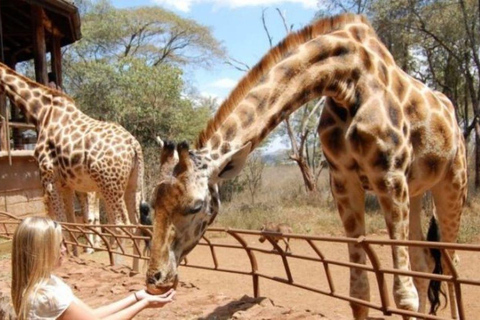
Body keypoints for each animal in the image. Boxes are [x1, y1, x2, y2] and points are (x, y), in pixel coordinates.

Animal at [0, 61, 149, 268]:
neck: (40, 112)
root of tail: (133, 145)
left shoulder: (49, 179)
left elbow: (61, 222)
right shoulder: (66, 185)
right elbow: (72, 222)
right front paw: (75, 255)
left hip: (110, 186)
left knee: (120, 225)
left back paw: (117, 265)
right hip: (132, 185)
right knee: (135, 224)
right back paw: (134, 270)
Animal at [145, 13, 464, 318]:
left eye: (196, 206)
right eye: (151, 204)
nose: (155, 279)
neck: (346, 80)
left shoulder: (389, 176)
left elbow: (403, 295)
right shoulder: (343, 182)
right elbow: (359, 292)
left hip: (452, 181)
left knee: (453, 264)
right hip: (417, 190)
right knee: (424, 263)